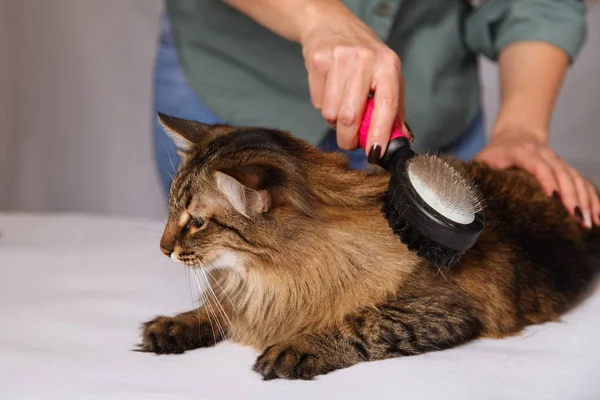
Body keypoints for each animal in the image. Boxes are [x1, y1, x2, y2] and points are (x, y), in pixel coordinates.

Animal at [137, 115, 600, 382]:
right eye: (171, 210)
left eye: (196, 222)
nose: (162, 249)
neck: (267, 275)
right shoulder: (244, 297)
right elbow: (216, 310)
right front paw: (175, 325)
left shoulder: (441, 309)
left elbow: (360, 324)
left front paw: (299, 346)